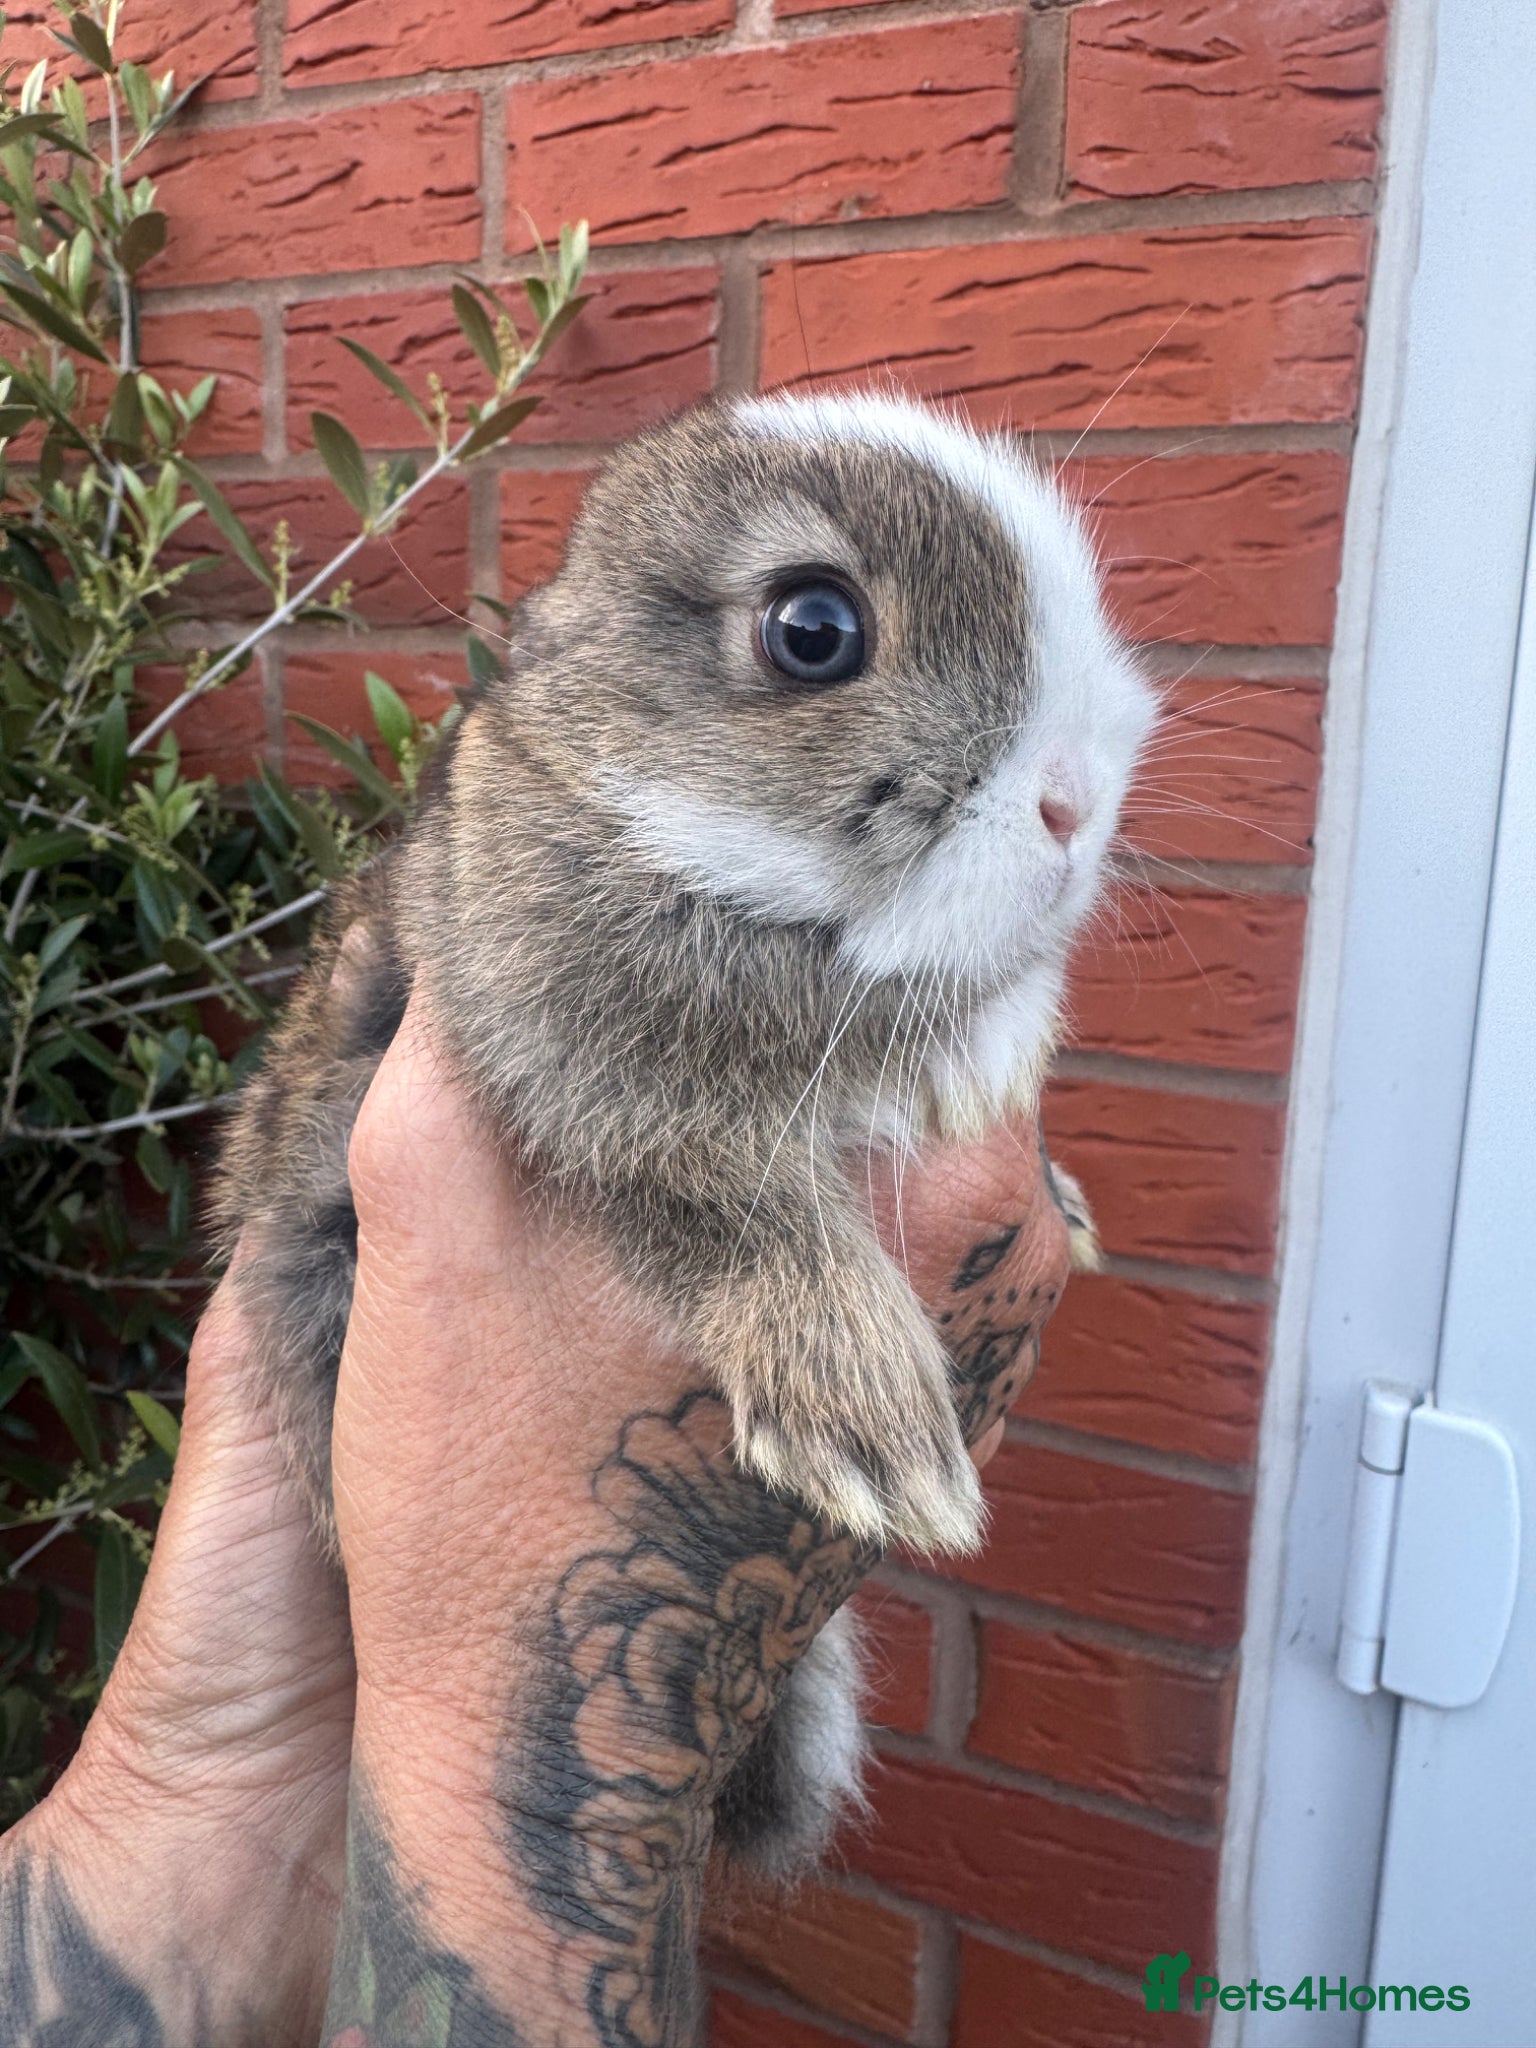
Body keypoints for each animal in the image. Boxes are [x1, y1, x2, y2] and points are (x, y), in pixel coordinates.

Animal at [214, 390, 1155, 1872]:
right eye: (815, 628)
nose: (1082, 802)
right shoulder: (592, 1082)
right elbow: (728, 1200)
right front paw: (871, 1429)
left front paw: (1058, 1188)